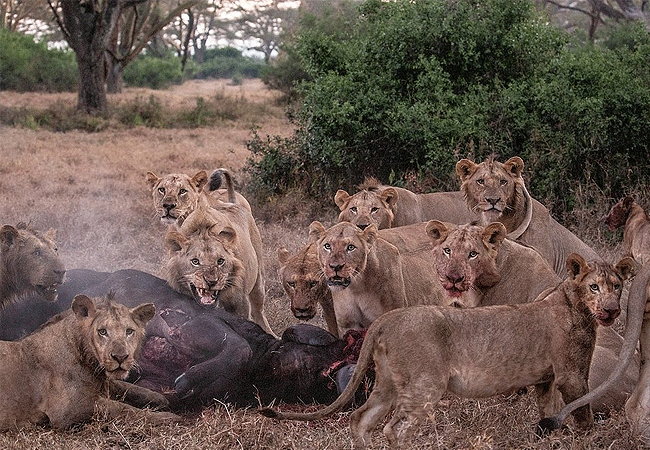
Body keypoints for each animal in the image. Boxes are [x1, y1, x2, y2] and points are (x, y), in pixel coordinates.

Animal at [0, 293, 178, 430]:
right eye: (102, 332)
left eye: (129, 331)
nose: (121, 357)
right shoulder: (69, 410)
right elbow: (121, 408)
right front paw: (167, 417)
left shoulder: (104, 382)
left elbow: (129, 388)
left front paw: (159, 398)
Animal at [164, 205, 273, 336]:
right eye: (195, 261)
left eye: (220, 261)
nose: (211, 282)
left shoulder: (241, 303)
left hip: (259, 281)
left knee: (259, 312)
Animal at [260, 253, 636, 448]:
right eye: (594, 287)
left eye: (617, 286)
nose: (612, 310)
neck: (576, 306)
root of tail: (389, 318)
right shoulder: (571, 375)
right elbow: (582, 410)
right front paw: (587, 438)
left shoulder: (545, 380)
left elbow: (549, 410)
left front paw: (549, 434)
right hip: (427, 384)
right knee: (395, 429)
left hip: (387, 382)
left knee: (360, 418)